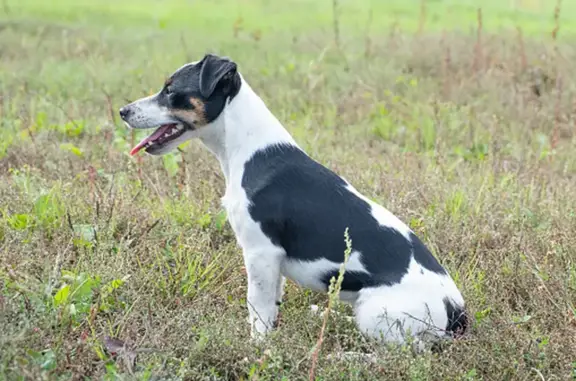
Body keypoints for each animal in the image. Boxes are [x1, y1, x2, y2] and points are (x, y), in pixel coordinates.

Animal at [118, 54, 468, 348]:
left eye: (170, 90)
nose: (123, 111)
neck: (249, 151)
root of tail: (458, 314)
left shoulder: (260, 252)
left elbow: (257, 307)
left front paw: (256, 348)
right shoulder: (271, 262)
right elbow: (271, 305)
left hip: (377, 313)